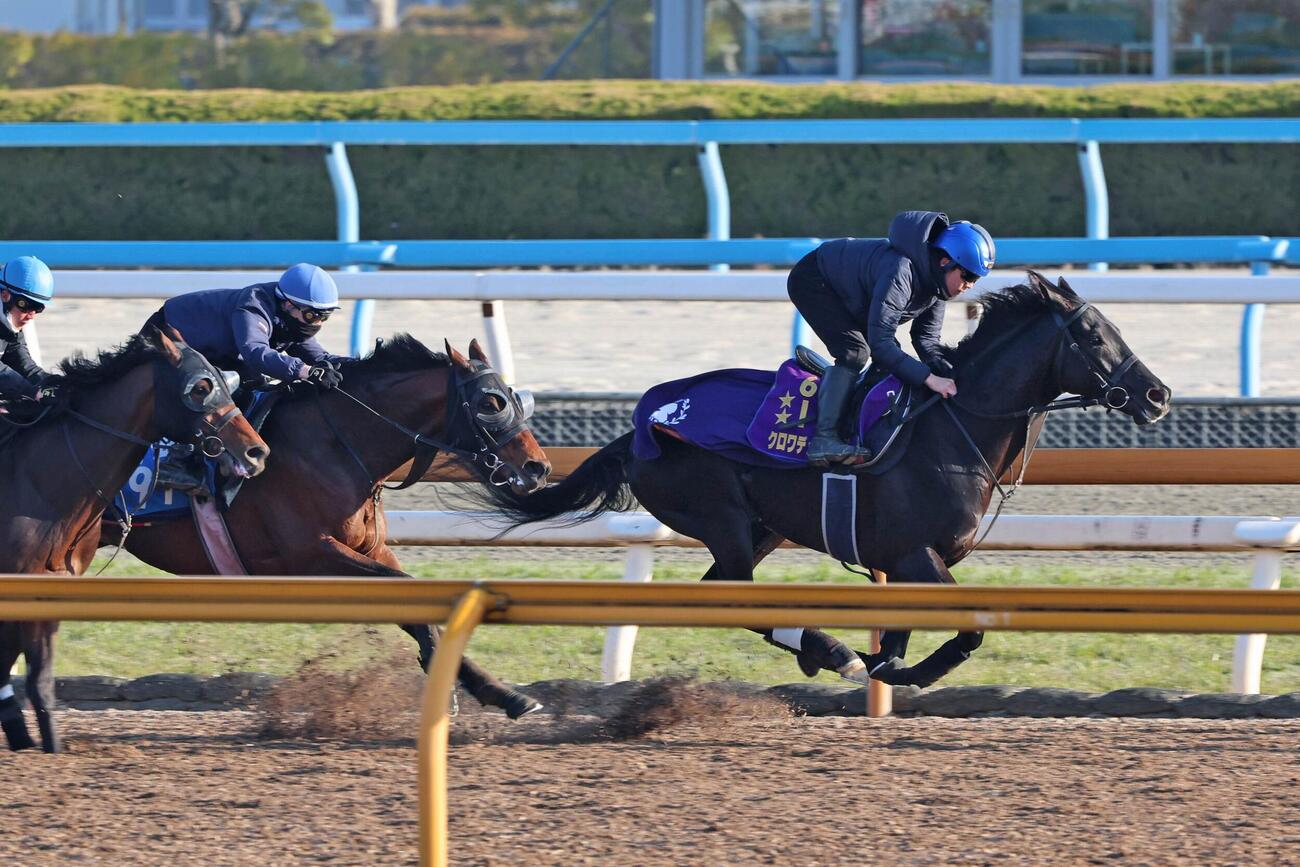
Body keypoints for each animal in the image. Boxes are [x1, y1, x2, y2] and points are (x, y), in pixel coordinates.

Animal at [1, 327, 269, 752]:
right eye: (200, 387)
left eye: (225, 380)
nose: (256, 451)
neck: (40, 478)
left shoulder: (50, 586)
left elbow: (32, 674)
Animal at [110, 335, 553, 720]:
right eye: (490, 402)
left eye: (513, 395)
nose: (539, 467)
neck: (335, 446)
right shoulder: (311, 555)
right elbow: (402, 587)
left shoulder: (371, 548)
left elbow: (412, 605)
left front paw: (502, 693)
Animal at [484, 272, 1172, 688]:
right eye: (1093, 335)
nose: (1158, 395)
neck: (950, 429)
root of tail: (641, 428)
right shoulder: (913, 553)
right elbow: (969, 630)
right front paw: (891, 668)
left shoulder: (902, 563)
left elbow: (897, 641)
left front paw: (885, 664)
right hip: (723, 519)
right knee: (739, 600)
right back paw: (832, 652)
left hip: (759, 529)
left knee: (724, 597)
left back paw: (828, 654)